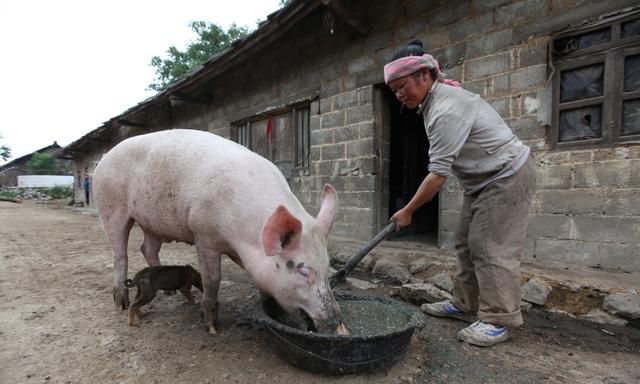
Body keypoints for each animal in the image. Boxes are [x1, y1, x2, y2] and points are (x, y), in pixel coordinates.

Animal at [91, 128, 344, 332]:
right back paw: (121, 303)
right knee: (120, 252)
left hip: (152, 223)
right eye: (304, 271)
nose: (339, 326)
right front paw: (212, 326)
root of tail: (103, 158)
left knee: (147, 248)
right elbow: (212, 279)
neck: (244, 236)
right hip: (111, 206)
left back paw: (168, 293)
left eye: (327, 266)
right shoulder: (203, 234)